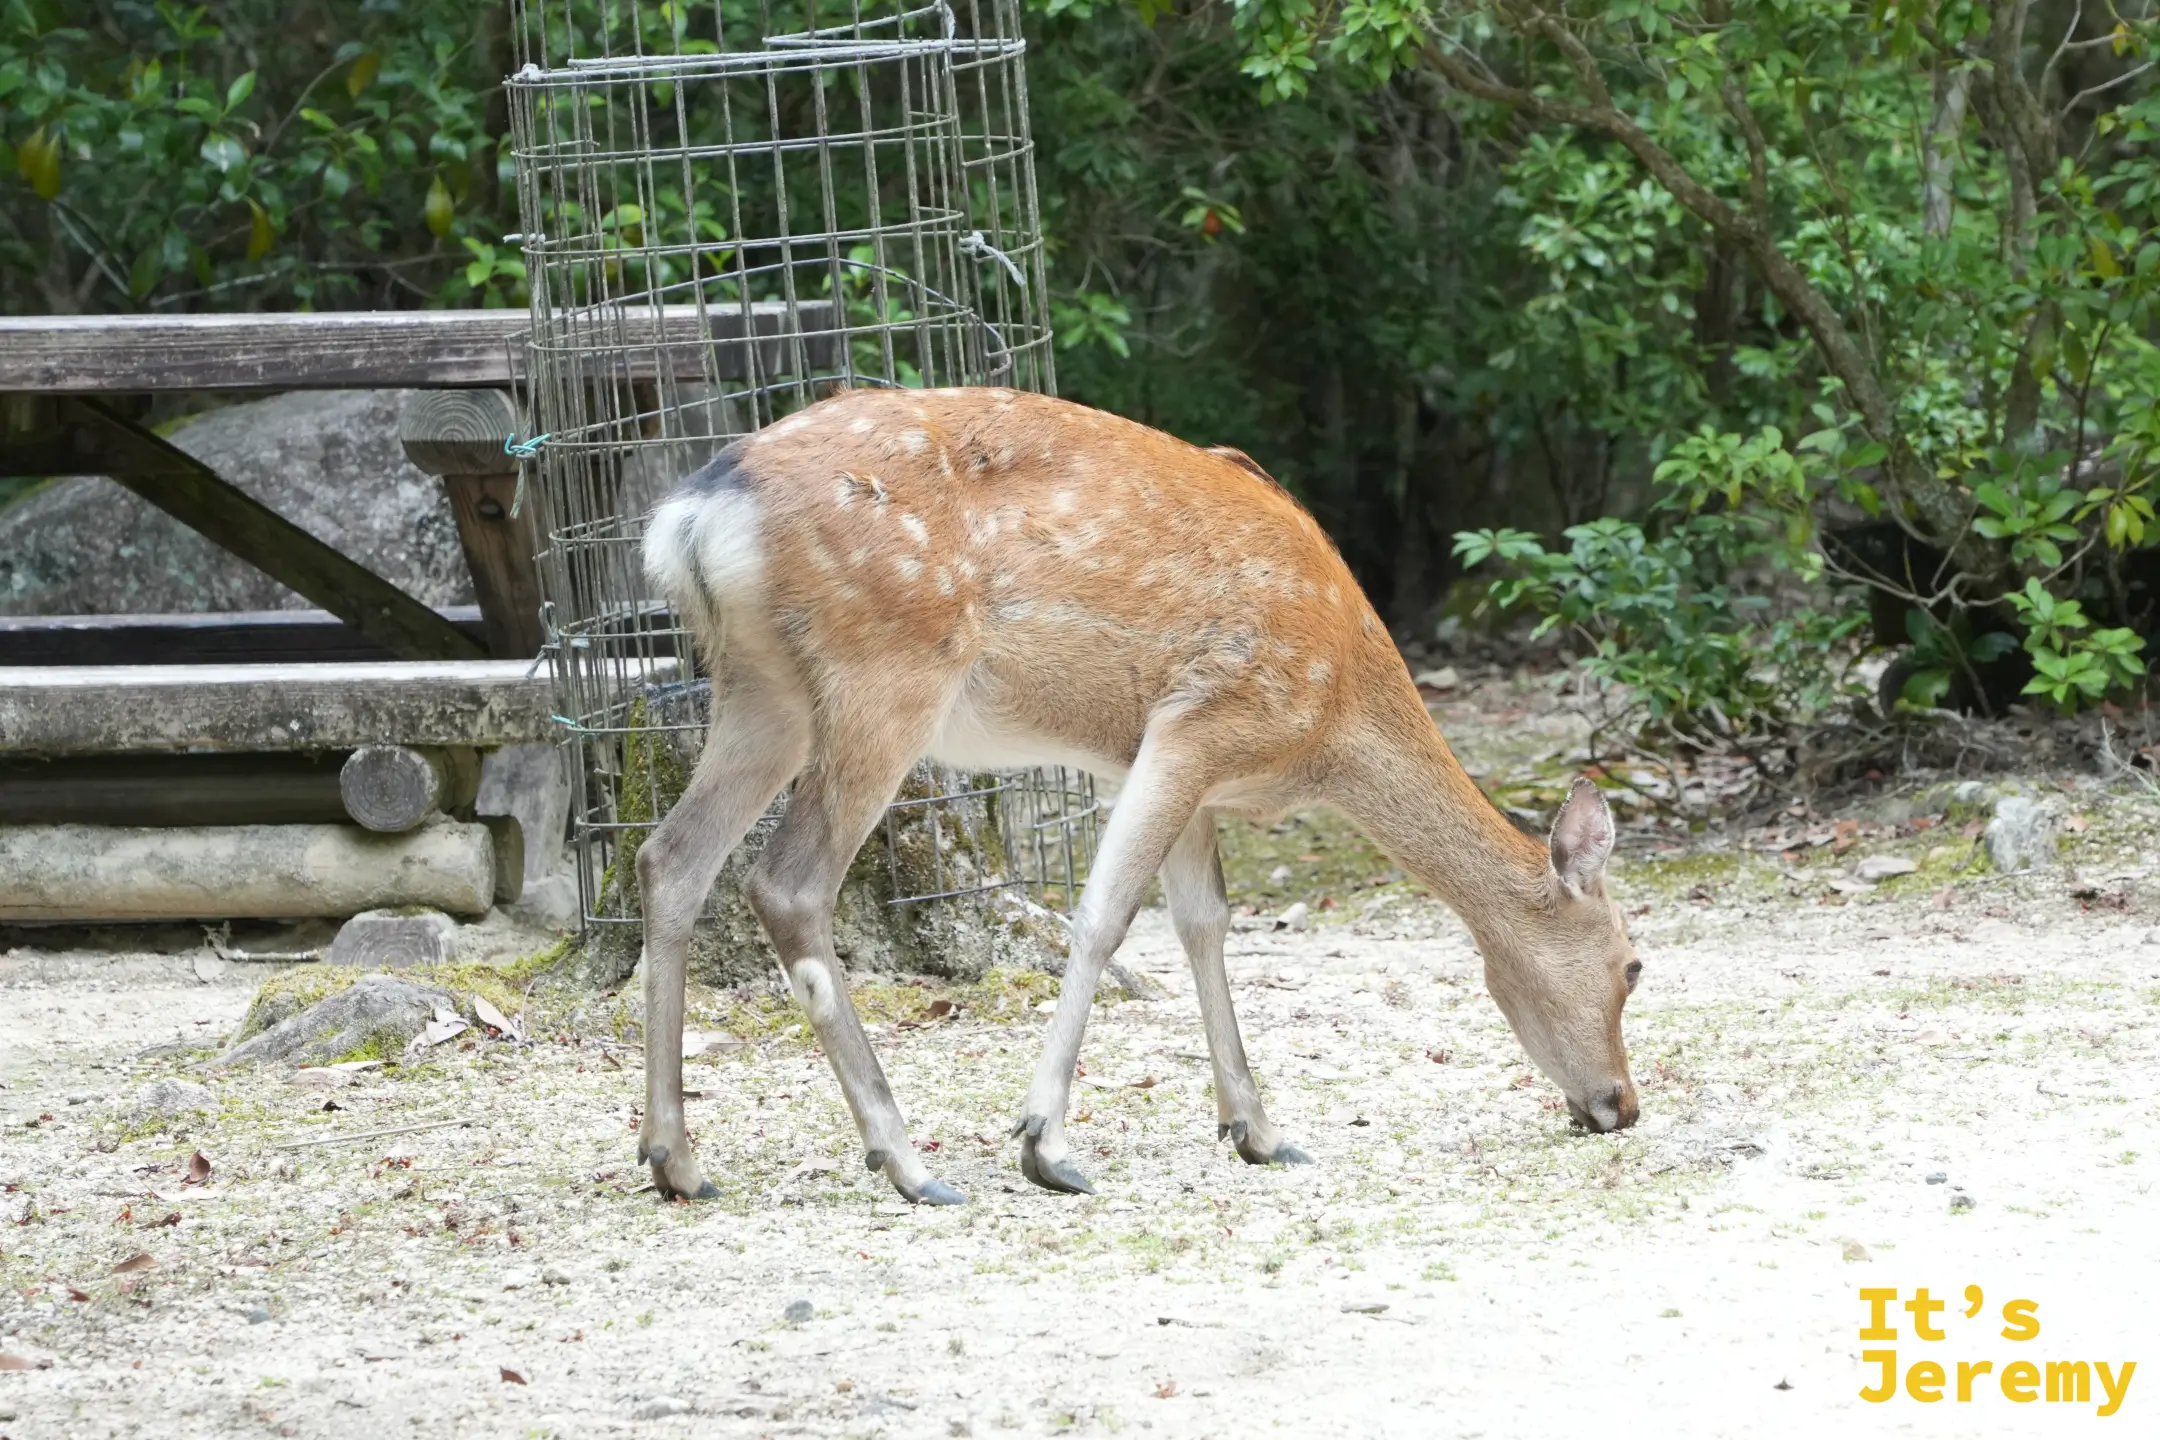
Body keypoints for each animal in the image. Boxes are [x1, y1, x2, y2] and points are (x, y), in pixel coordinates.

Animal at [634, 385, 1643, 1204]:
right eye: (1635, 965)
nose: (1623, 1104)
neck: (1331, 724)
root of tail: (692, 515)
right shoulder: (1205, 717)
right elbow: (1106, 914)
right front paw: (1045, 1145)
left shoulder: (1166, 763)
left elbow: (1205, 922)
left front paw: (1258, 1131)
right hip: (887, 672)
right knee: (788, 883)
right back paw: (909, 1162)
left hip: (762, 690)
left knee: (669, 856)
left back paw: (676, 1158)